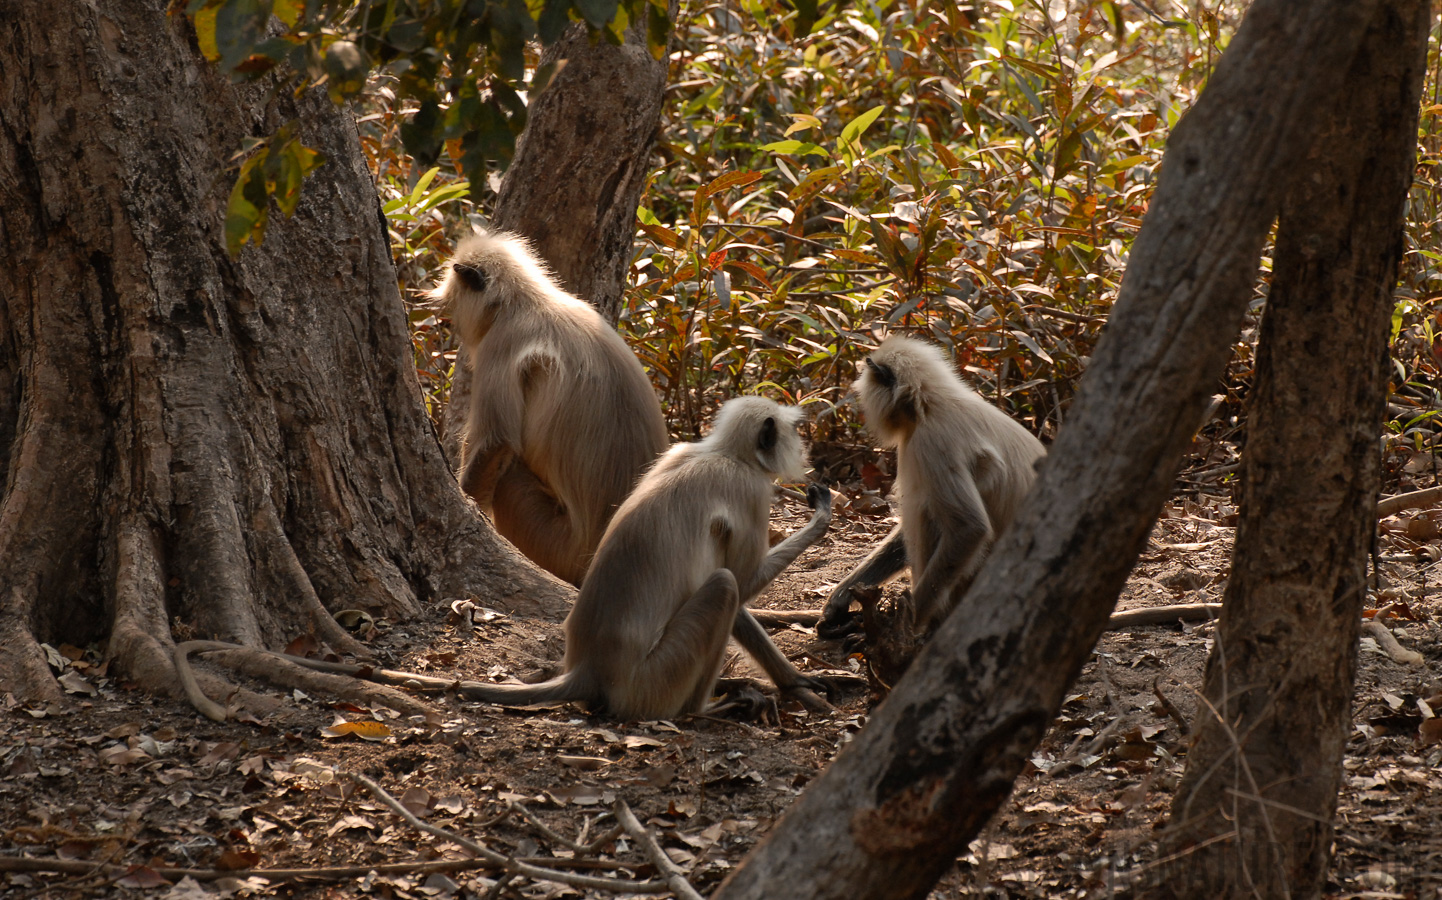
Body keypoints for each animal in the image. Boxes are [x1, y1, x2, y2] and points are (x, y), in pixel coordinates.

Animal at [426, 227, 669, 588]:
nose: (455, 328)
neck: (526, 301)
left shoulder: (499, 344)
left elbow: (497, 443)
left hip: (554, 542)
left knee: (508, 476)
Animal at [461, 398, 836, 721]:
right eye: (793, 432)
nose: (803, 447)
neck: (724, 453)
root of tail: (587, 669)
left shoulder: (678, 451)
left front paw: (792, 680)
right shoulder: (752, 491)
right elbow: (742, 582)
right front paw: (821, 520)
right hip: (656, 679)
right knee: (725, 585)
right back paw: (703, 709)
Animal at [819, 334, 1044, 637]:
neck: (929, 403)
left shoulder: (929, 443)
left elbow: (968, 528)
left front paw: (907, 626)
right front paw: (840, 599)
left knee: (926, 508)